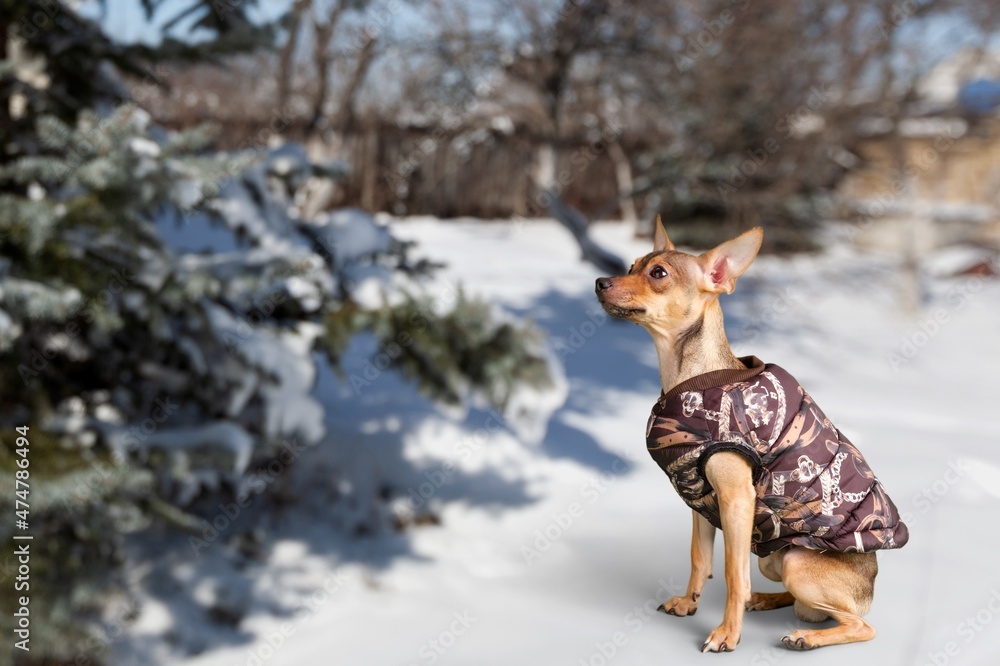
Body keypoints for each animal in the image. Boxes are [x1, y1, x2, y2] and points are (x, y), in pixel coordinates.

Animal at [596, 218, 912, 648]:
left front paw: (727, 634)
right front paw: (688, 602)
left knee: (859, 625)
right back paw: (765, 600)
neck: (689, 377)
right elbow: (700, 558)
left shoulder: (736, 500)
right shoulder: (701, 497)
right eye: (632, 266)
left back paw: (804, 636)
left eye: (658, 274)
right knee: (799, 601)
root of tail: (870, 590)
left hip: (795, 562)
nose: (600, 281)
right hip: (773, 561)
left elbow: (733, 574)